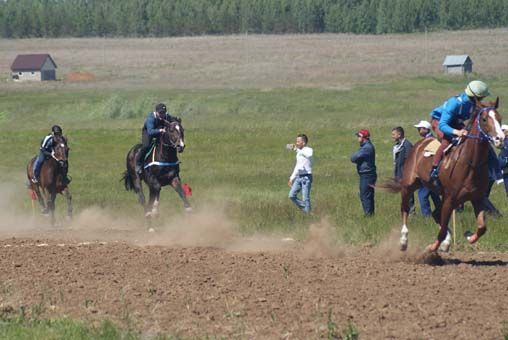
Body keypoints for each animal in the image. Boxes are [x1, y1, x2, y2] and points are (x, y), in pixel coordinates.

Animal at [384, 98, 504, 252]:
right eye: (484, 119)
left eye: (499, 119)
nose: (500, 139)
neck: (471, 162)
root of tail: (420, 143)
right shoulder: (450, 198)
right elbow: (441, 230)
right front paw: (432, 247)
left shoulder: (477, 197)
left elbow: (482, 227)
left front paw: (468, 235)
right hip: (409, 184)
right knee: (405, 208)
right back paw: (404, 240)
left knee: (435, 214)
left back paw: (446, 242)